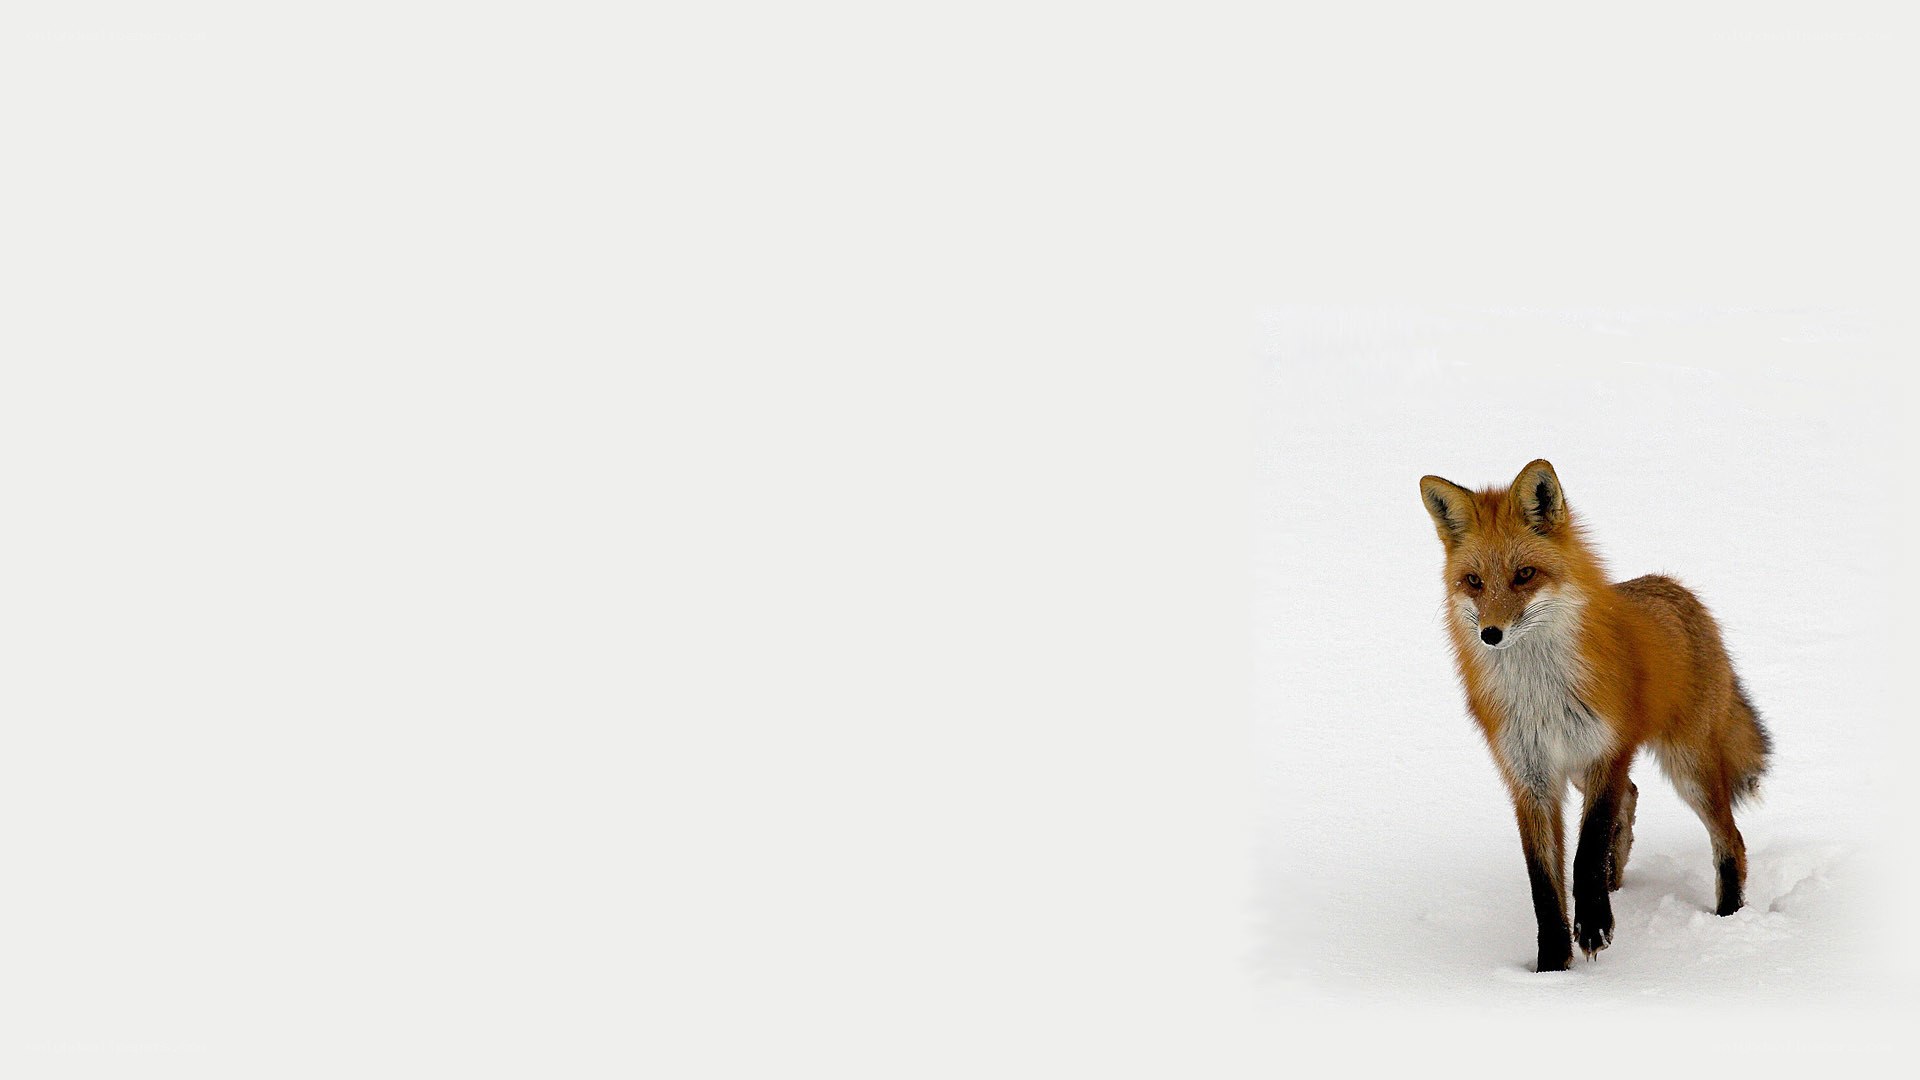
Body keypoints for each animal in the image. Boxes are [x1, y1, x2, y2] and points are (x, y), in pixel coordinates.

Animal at [1419, 459, 1771, 972]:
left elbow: (1586, 850)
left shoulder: (1608, 749)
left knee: (1731, 839)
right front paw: (1550, 965)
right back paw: (1614, 882)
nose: (1491, 634)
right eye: (1474, 581)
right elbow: (1543, 881)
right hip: (1587, 773)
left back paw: (1727, 918)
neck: (1541, 693)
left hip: (1688, 768)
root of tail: (1676, 588)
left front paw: (1592, 927)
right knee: (1633, 795)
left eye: (1524, 574)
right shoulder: (1530, 777)